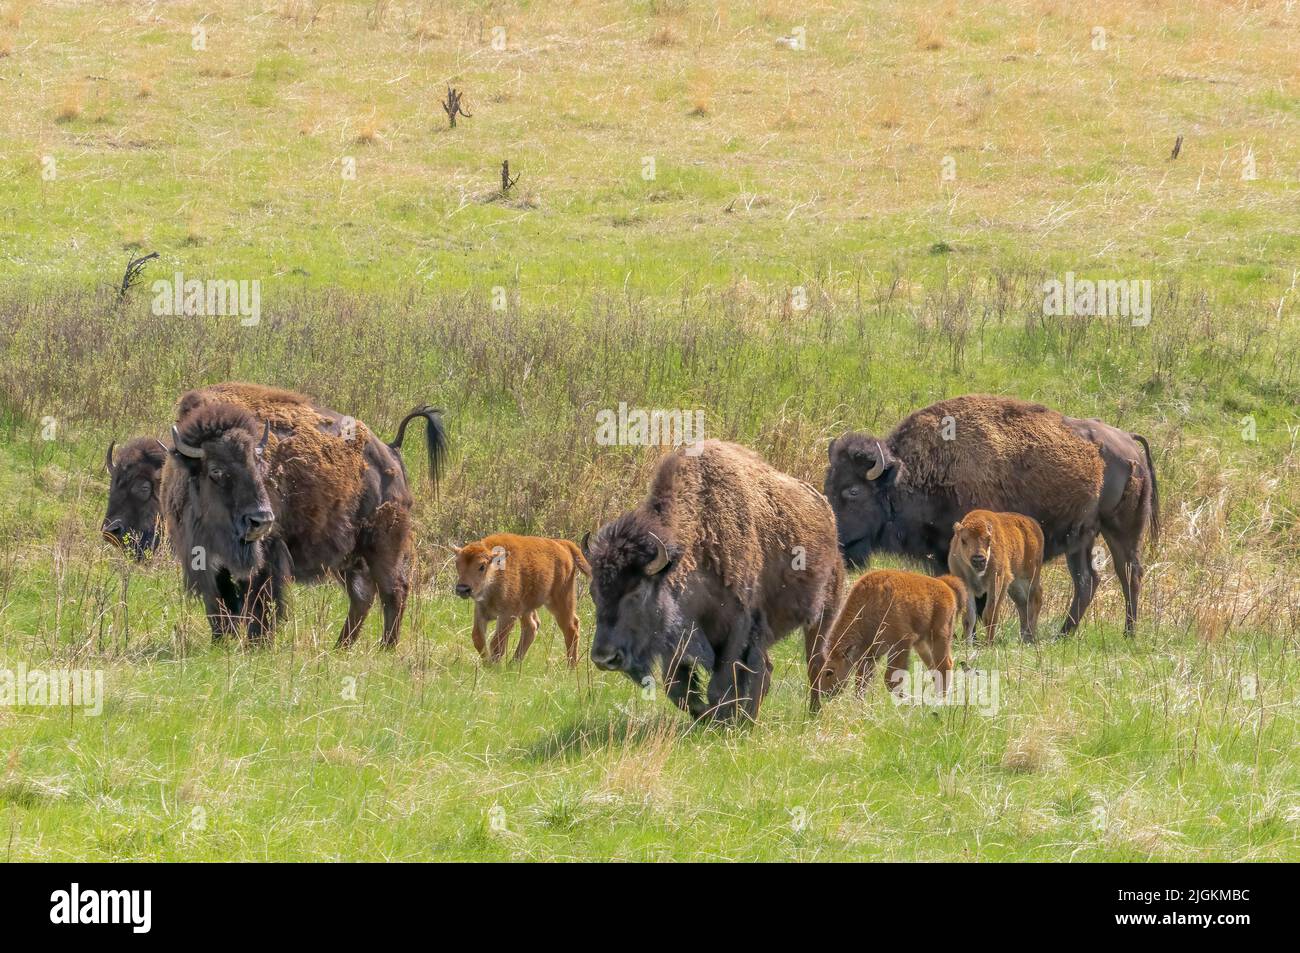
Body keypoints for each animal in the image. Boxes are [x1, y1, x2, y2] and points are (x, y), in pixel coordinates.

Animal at [163, 382, 446, 646]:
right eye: (216, 470)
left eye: (259, 466)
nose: (261, 520)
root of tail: (391, 450)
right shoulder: (207, 561)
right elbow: (219, 604)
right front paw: (221, 642)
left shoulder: (268, 557)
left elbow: (261, 602)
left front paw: (258, 644)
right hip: (349, 558)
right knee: (363, 596)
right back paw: (341, 647)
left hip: (383, 544)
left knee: (394, 591)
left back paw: (385, 648)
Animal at [584, 440, 844, 722]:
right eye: (594, 593)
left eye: (637, 591)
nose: (604, 657)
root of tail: (827, 512)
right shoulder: (678, 640)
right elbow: (678, 689)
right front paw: (709, 716)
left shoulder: (738, 627)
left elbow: (721, 685)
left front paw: (722, 719)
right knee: (767, 668)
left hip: (824, 614)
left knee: (814, 662)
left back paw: (813, 712)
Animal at [825, 394, 1158, 636]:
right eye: (829, 485)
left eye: (853, 491)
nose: (837, 542)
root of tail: (1128, 440)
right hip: (1082, 538)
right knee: (1087, 580)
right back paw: (1062, 635)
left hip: (1122, 529)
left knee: (1129, 574)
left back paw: (1129, 633)